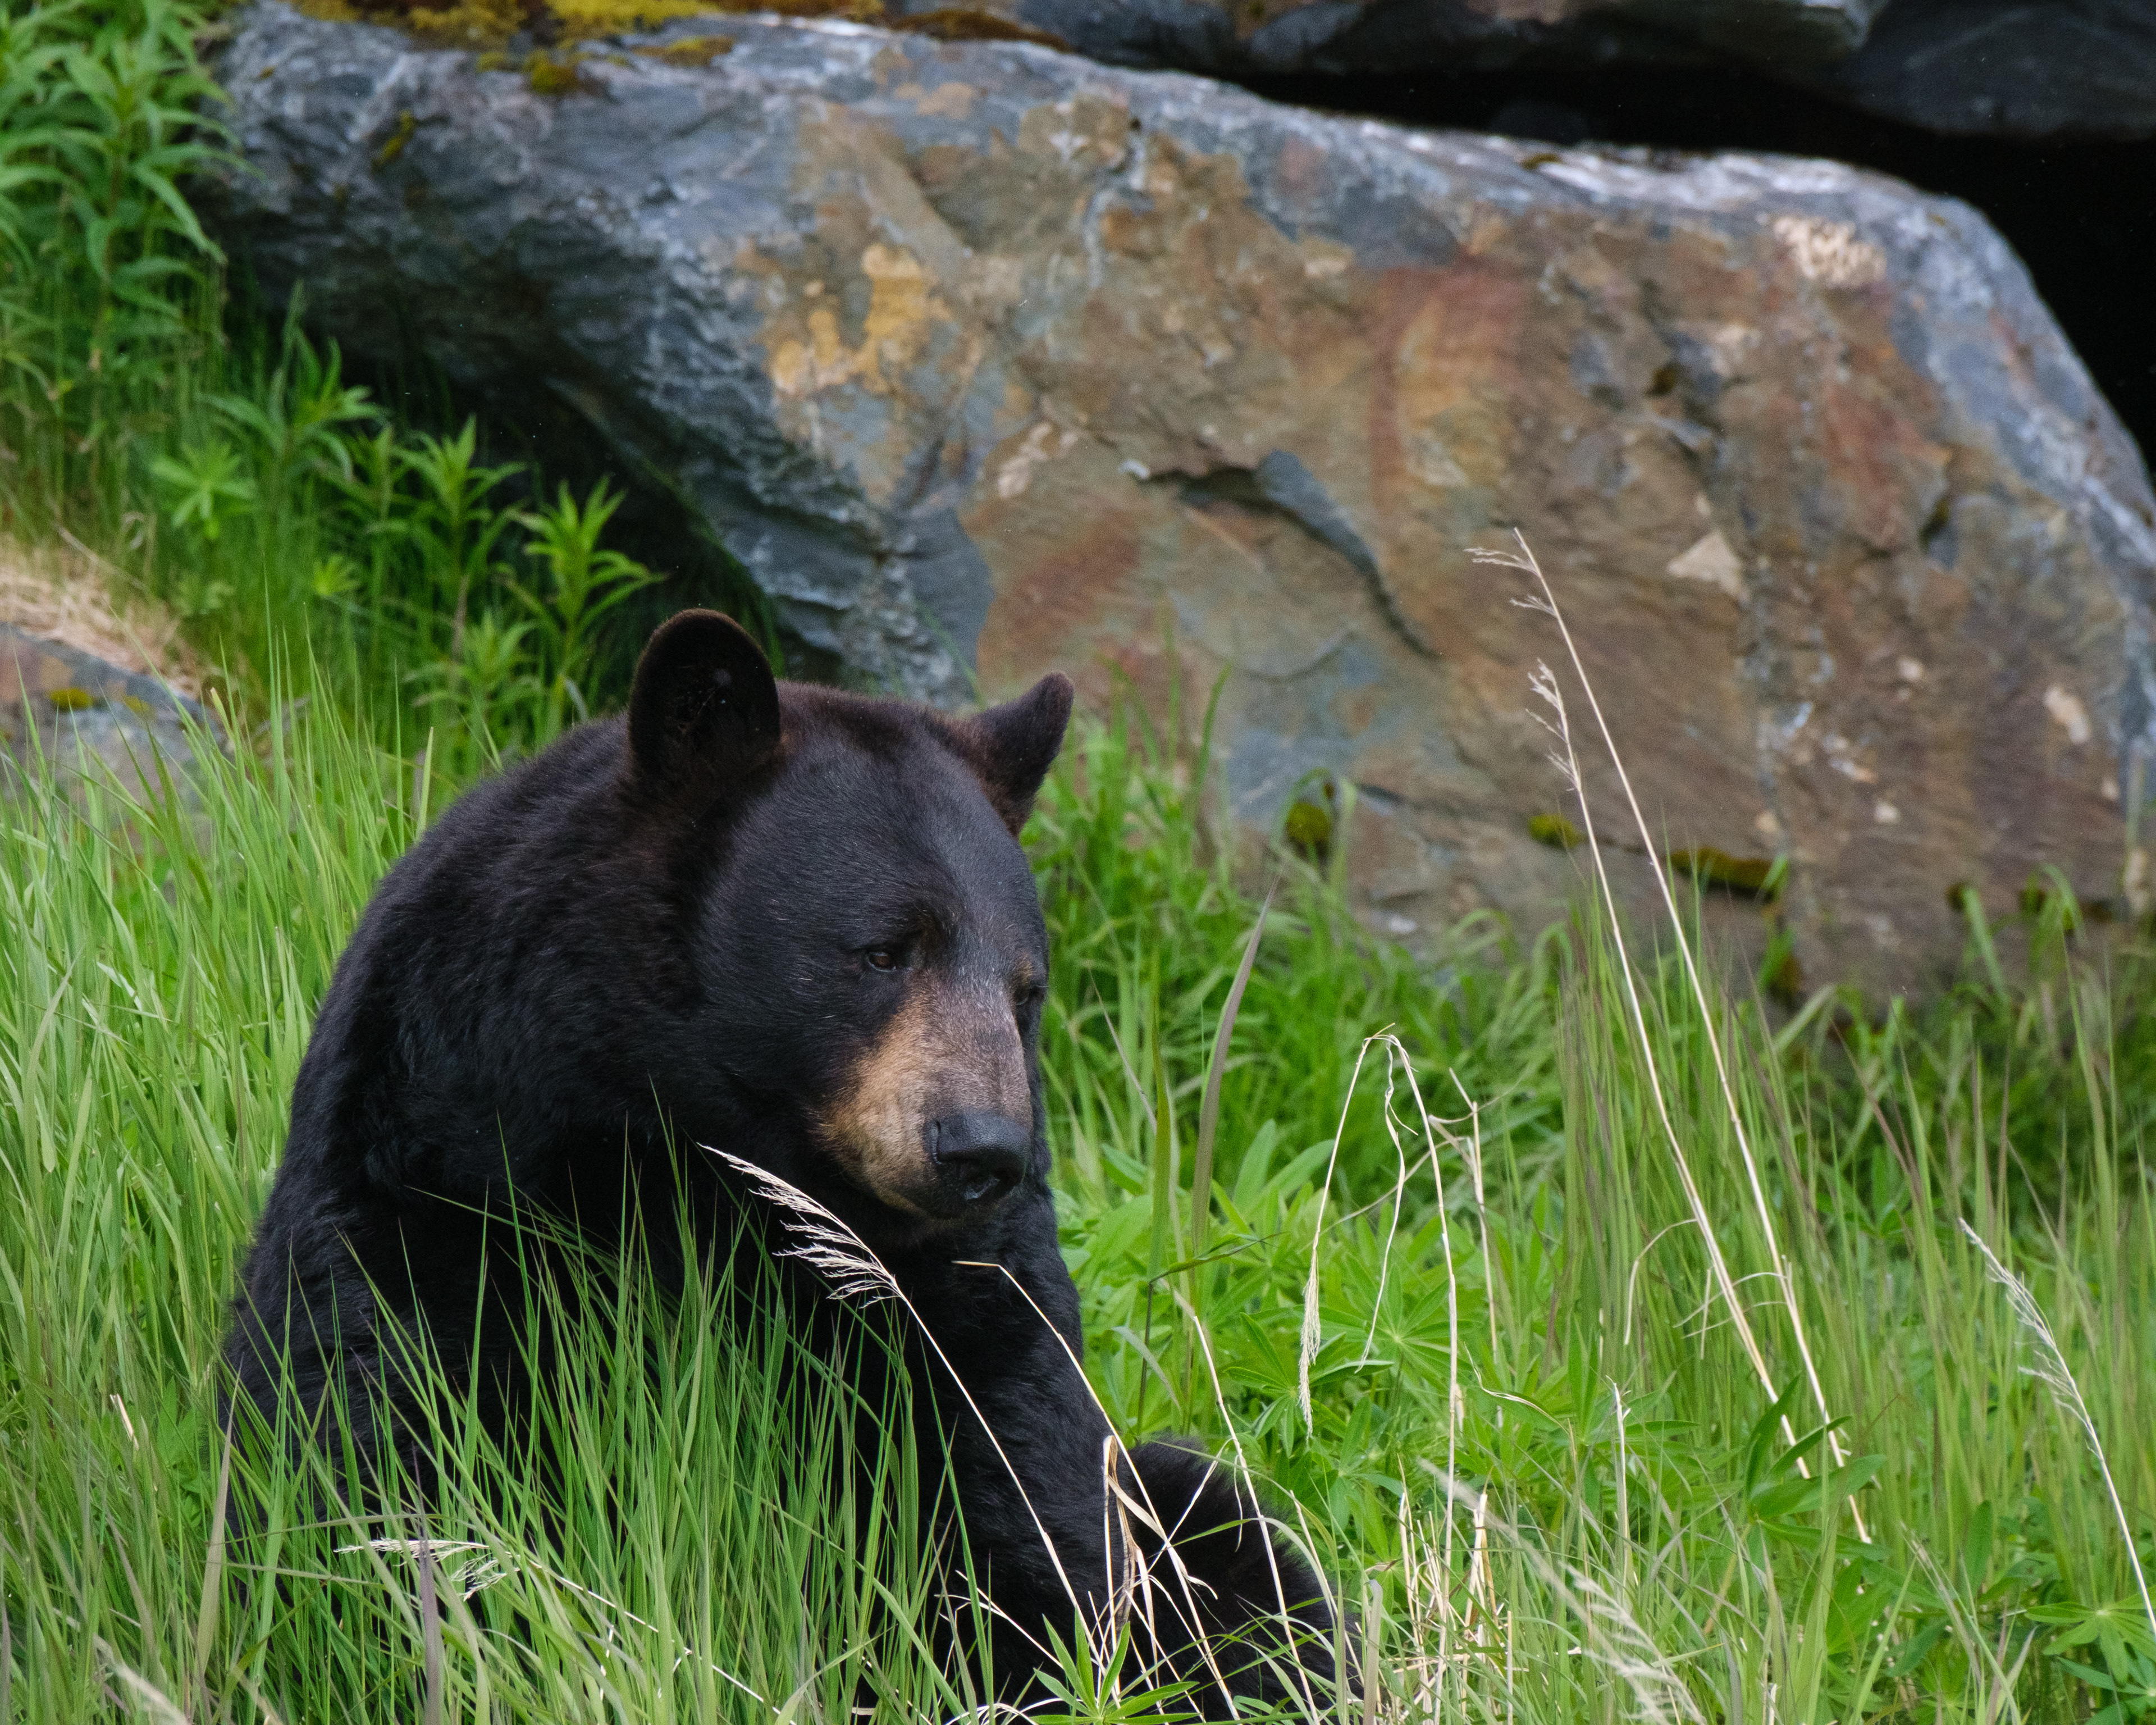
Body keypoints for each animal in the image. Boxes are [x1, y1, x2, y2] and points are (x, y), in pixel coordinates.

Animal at [226, 609, 1338, 1714]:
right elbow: (384, 1431)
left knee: (1244, 1548)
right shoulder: (436, 1159)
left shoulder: (952, 1287)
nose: (983, 1147)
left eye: (1026, 989)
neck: (705, 1154)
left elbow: (1017, 1476)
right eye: (884, 949)